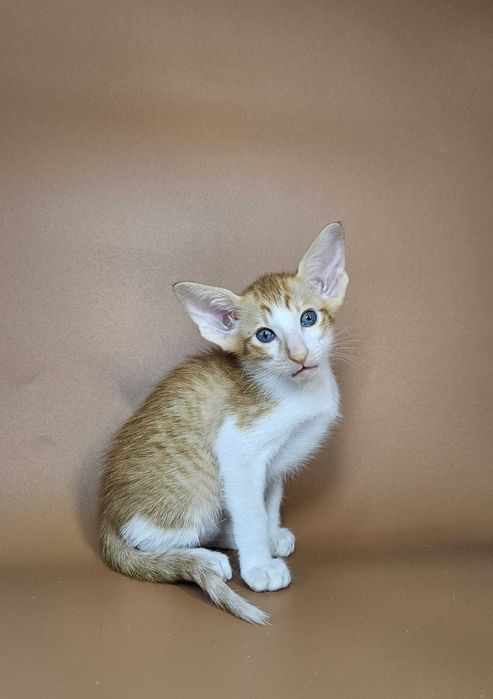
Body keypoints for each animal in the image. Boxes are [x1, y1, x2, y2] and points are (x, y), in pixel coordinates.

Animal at [99, 222, 349, 624]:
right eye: (265, 335)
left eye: (308, 318)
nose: (299, 355)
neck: (298, 392)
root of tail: (105, 517)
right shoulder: (238, 449)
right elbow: (250, 510)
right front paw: (259, 566)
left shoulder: (273, 465)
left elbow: (266, 503)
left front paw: (269, 534)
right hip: (196, 490)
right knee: (149, 538)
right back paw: (204, 559)